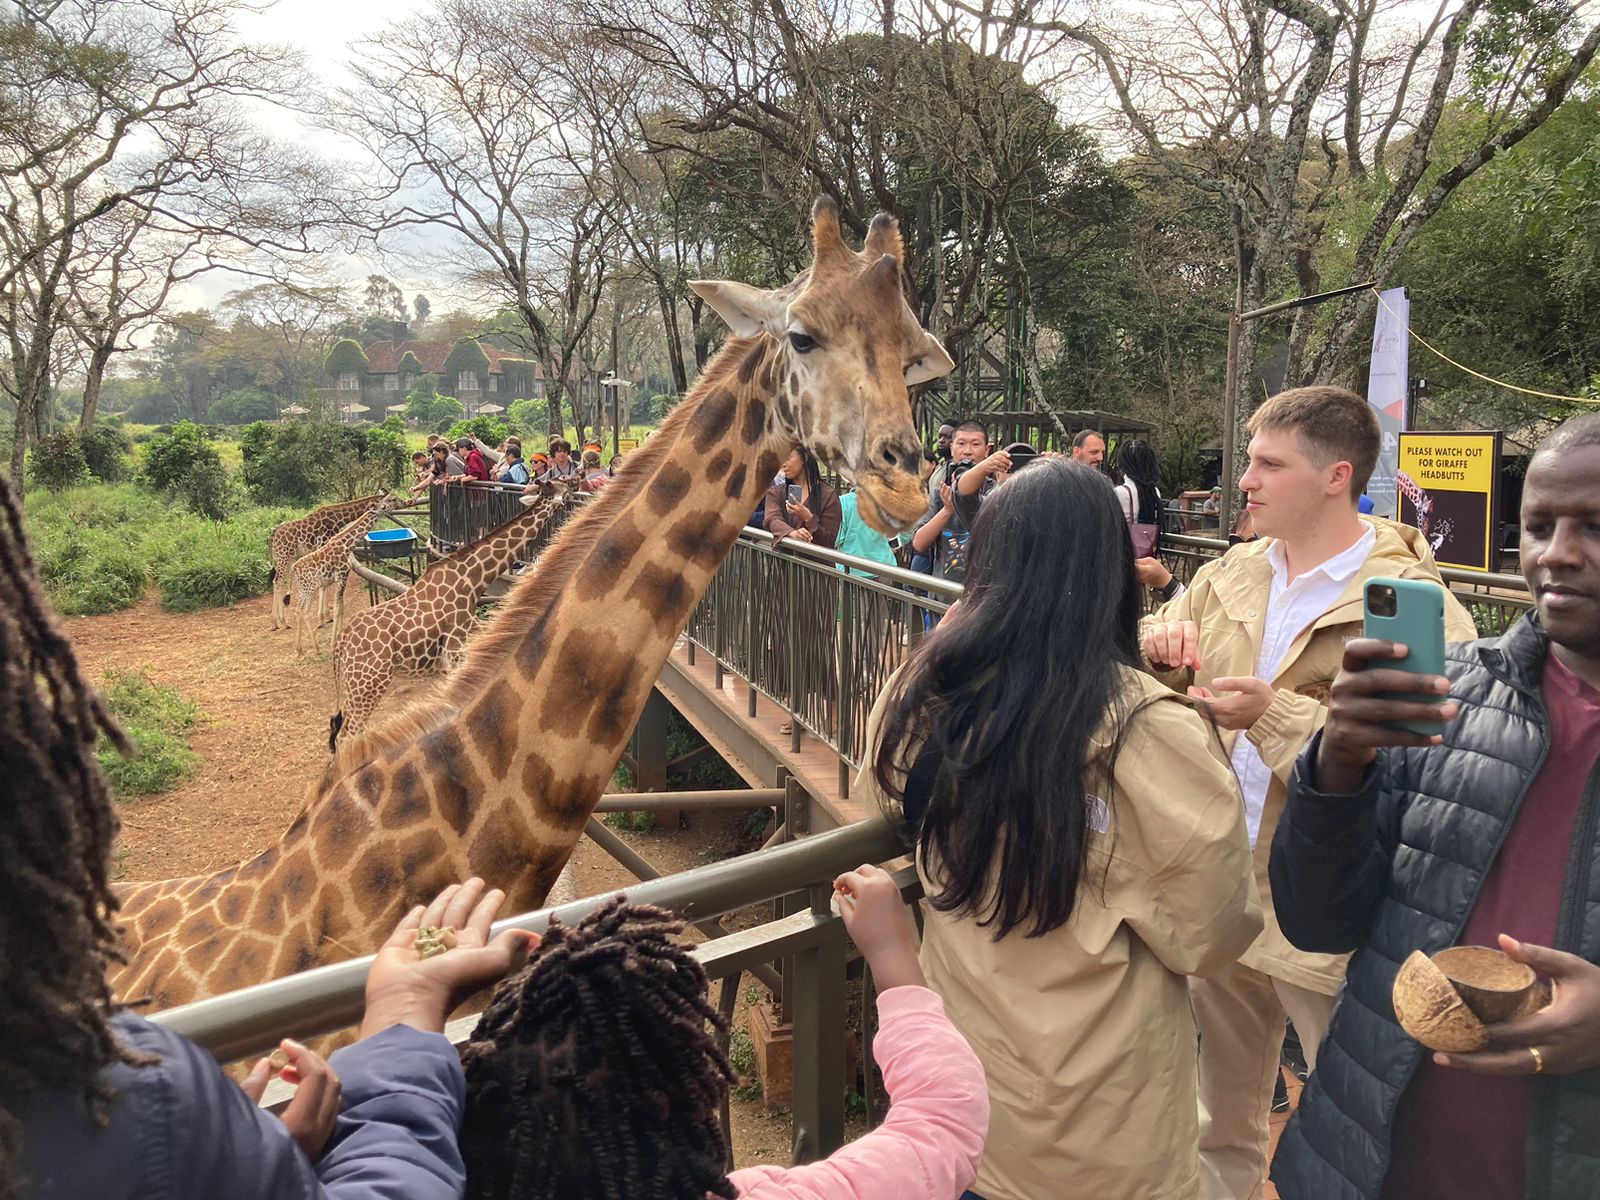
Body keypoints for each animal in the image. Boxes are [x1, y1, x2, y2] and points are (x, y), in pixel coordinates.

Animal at [268, 493, 389, 630]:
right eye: (393, 499)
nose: (401, 503)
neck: (337, 518)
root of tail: (272, 536)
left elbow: (325, 586)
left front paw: (325, 617)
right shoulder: (324, 548)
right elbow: (325, 587)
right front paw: (324, 618)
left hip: (285, 559)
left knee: (278, 582)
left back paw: (275, 623)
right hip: (284, 557)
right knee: (278, 582)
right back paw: (283, 622)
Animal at [288, 494, 402, 657]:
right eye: (388, 502)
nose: (403, 502)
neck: (347, 544)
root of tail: (294, 569)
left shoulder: (342, 577)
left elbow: (341, 606)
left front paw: (340, 636)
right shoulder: (342, 575)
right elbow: (337, 607)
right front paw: (332, 643)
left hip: (303, 589)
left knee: (298, 609)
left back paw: (300, 649)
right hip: (311, 588)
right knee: (305, 610)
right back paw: (316, 648)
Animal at [328, 482, 571, 750]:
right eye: (563, 491)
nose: (573, 484)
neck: (473, 580)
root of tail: (341, 643)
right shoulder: (455, 650)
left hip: (357, 684)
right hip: (369, 681)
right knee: (346, 734)